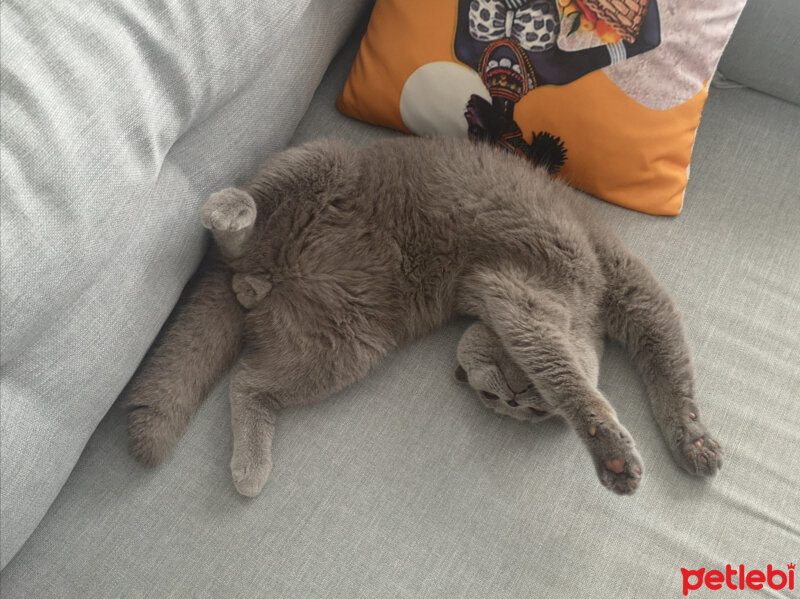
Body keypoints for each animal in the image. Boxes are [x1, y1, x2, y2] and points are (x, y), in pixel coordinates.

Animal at [126, 136, 724, 496]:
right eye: (499, 398)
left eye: (521, 411)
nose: (506, 402)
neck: (580, 313)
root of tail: (274, 268)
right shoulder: (539, 299)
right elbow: (588, 376)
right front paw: (617, 454)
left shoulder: (583, 301)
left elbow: (667, 374)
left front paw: (694, 443)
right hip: (322, 161)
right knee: (233, 227)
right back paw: (231, 212)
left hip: (344, 345)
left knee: (249, 379)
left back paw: (250, 463)